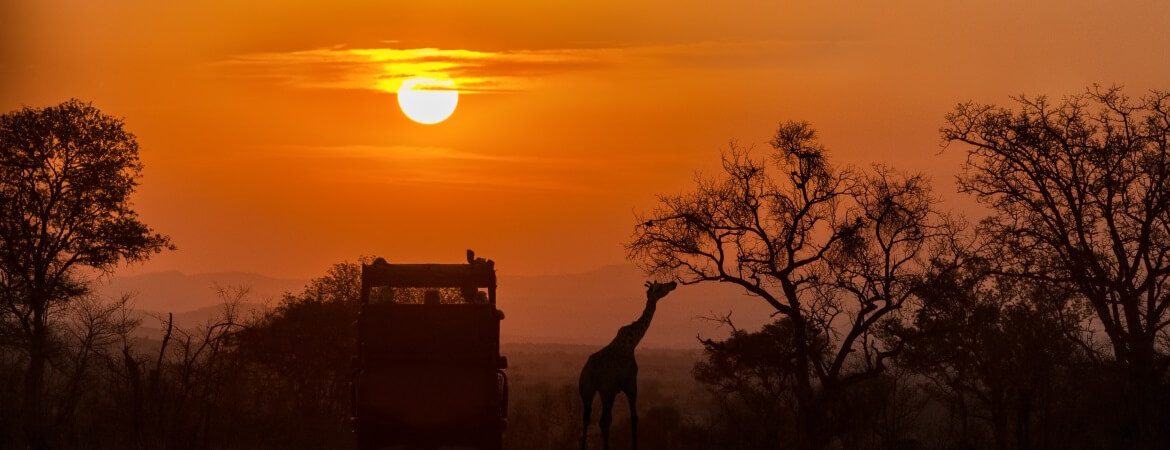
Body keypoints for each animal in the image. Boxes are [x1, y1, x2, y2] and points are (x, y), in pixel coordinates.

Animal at [575, 278, 678, 446]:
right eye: (661, 286)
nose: (674, 283)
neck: (633, 341)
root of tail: (588, 372)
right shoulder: (630, 383)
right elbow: (634, 418)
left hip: (587, 391)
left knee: (587, 419)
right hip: (606, 391)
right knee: (603, 420)